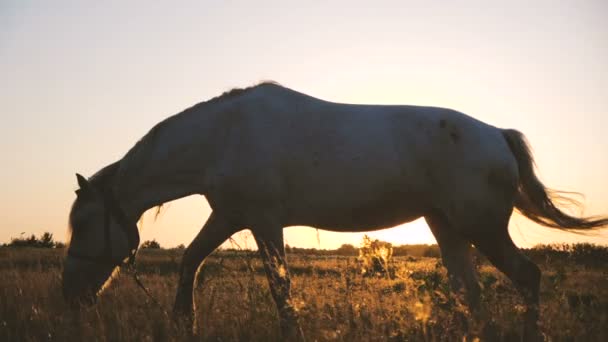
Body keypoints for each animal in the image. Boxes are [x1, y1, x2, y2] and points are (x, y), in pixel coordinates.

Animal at [63, 81, 608, 340]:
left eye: (85, 223)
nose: (71, 295)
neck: (222, 136)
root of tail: (497, 134)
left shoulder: (263, 221)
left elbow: (281, 289)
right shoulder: (231, 216)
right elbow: (190, 261)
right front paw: (184, 323)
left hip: (481, 227)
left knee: (527, 277)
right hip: (447, 226)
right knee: (469, 293)